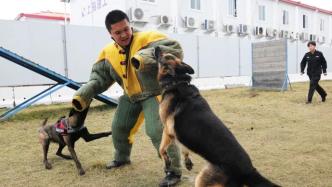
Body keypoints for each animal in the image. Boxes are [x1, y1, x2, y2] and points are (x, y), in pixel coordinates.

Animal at [156, 47, 280, 187]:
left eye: (167, 56)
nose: (157, 47)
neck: (177, 81)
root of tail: (249, 170)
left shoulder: (167, 129)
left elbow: (161, 148)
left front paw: (167, 162)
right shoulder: (177, 133)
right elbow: (183, 147)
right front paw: (187, 161)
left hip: (202, 179)